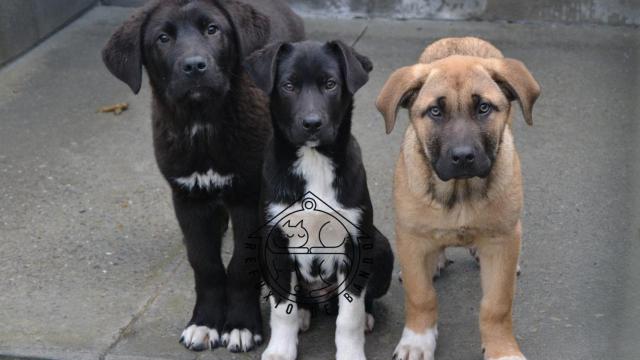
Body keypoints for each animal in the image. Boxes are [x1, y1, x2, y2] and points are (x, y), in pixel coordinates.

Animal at [102, 0, 304, 354]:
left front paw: (240, 325)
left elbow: (240, 264)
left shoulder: (250, 197)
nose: (195, 66)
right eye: (163, 38)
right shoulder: (188, 198)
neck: (203, 124)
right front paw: (205, 322)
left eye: (212, 29)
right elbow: (204, 263)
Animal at [246, 40, 392, 360]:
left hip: (381, 247)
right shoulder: (275, 241)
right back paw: (302, 314)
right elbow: (281, 309)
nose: (312, 123)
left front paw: (351, 353)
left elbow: (349, 315)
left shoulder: (354, 241)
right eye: (288, 85)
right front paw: (280, 350)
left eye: (330, 84)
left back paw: (367, 317)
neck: (314, 161)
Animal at [376, 37, 540, 360]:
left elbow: (497, 305)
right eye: (435, 112)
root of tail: (459, 40)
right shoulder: (411, 237)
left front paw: (502, 349)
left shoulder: (502, 241)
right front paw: (417, 340)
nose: (463, 157)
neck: (460, 192)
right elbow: (421, 296)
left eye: (484, 108)